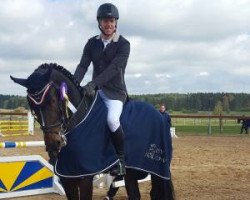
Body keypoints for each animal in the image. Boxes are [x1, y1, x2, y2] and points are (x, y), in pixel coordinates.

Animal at [10, 63, 176, 199]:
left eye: (52, 100)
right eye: (32, 106)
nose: (53, 144)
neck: (78, 121)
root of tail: (159, 115)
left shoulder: (85, 176)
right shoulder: (67, 176)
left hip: (157, 168)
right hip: (132, 171)